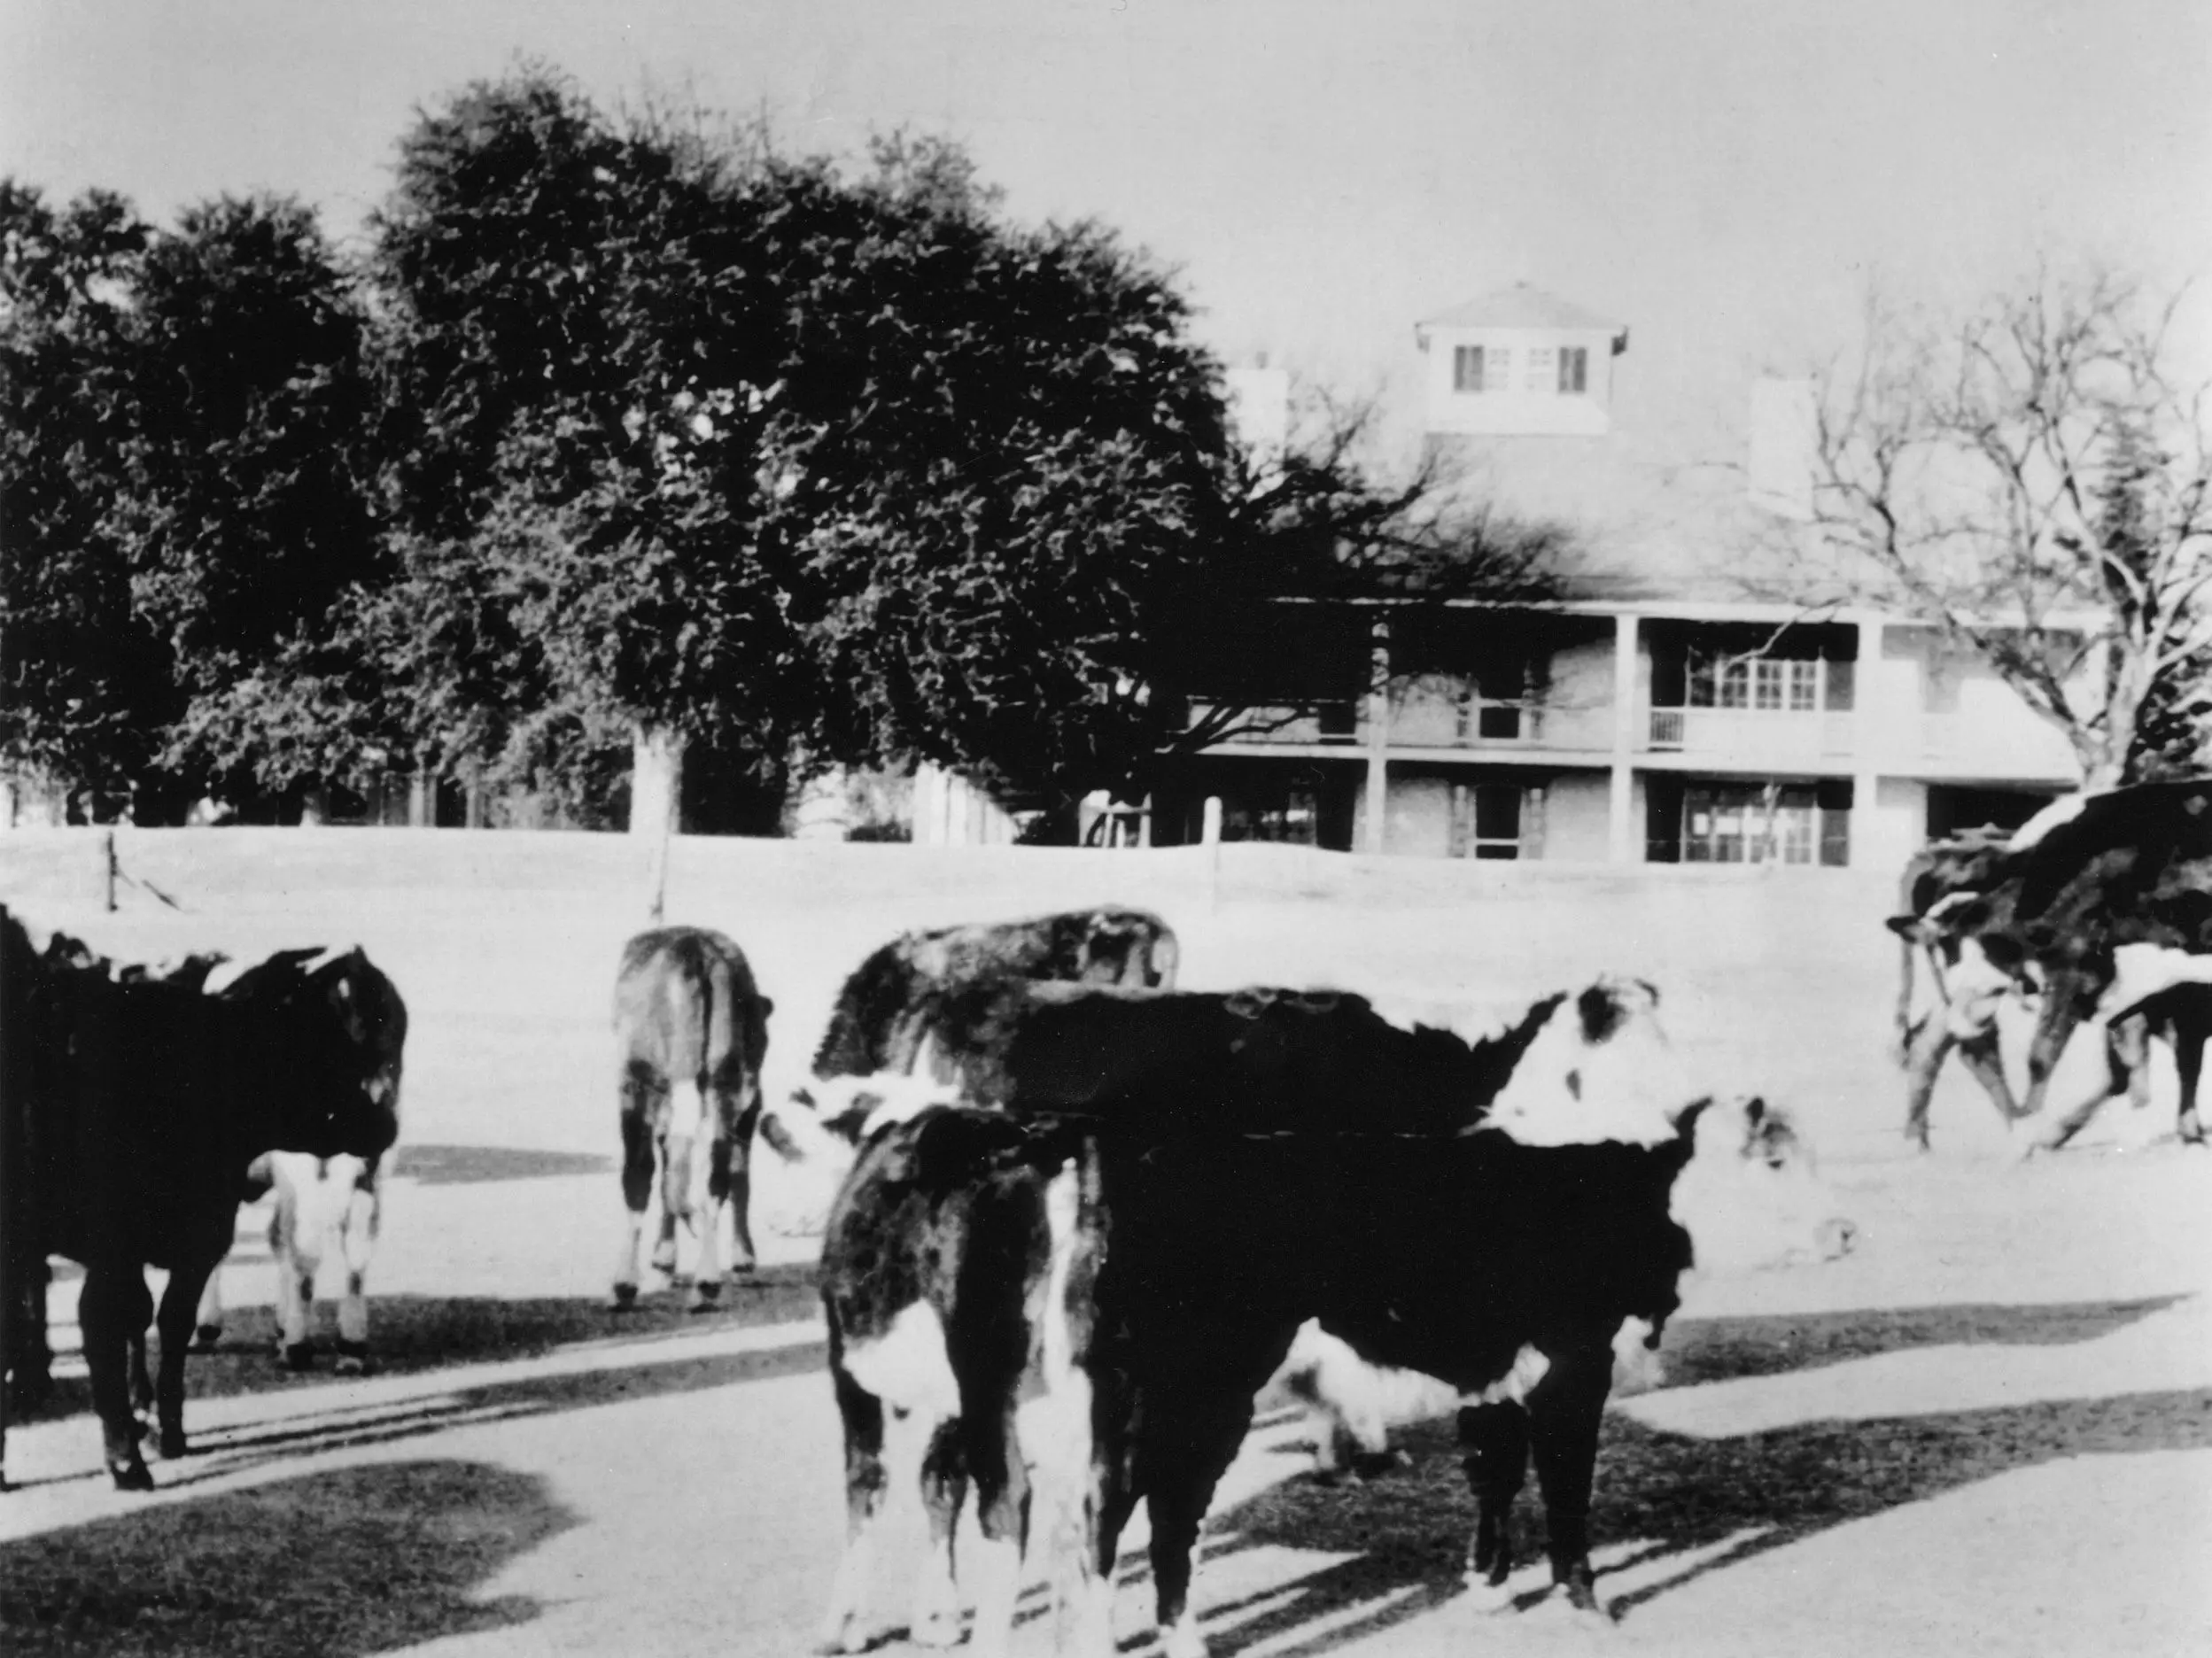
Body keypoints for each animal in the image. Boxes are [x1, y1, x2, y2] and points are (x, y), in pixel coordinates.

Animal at [0, 908, 402, 1490]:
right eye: (312, 1043)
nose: (384, 1123)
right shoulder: (115, 1245)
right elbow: (111, 1320)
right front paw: (126, 1454)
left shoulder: (203, 1233)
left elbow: (168, 1321)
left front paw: (165, 1429)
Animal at [611, 927, 774, 1309]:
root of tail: (694, 950)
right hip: (724, 1082)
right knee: (717, 1175)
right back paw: (709, 1279)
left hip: (646, 1081)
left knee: (647, 1172)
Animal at [815, 978, 1851, 1655]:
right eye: (1771, 1160)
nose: (1844, 1228)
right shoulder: (1570, 1359)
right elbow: (1563, 1485)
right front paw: (1580, 1601)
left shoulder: (1487, 1356)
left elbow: (1493, 1468)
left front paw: (1485, 1584)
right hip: (1118, 1393)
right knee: (1043, 1502)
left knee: (978, 1489)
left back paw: (945, 1620)